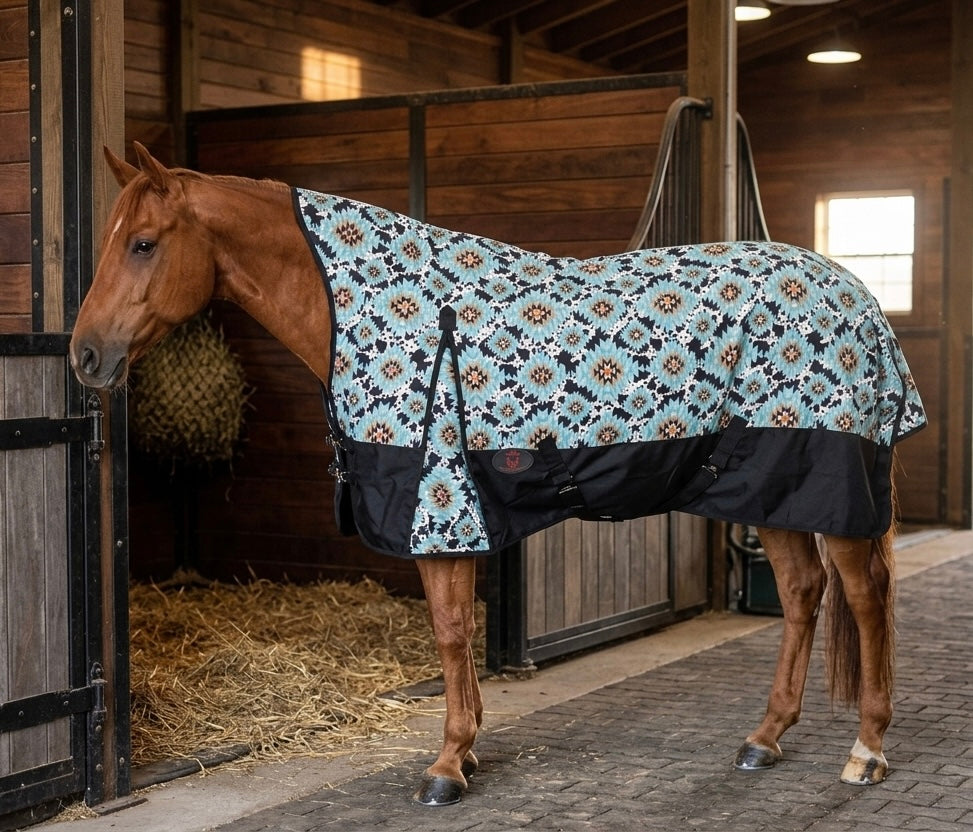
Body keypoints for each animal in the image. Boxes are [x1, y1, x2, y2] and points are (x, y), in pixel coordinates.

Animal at [70, 143, 925, 806]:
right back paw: (764, 738)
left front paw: (447, 764)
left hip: (828, 484)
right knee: (802, 593)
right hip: (768, 484)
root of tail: (857, 300)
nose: (84, 355)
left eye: (142, 242)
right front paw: (469, 748)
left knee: (863, 597)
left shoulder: (440, 505)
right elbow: (455, 633)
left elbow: (451, 633)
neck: (387, 308)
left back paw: (867, 750)